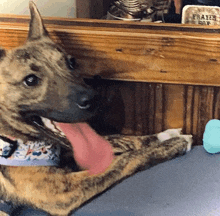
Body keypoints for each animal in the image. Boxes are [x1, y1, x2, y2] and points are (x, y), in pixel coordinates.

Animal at [0, 2, 192, 216]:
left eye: (71, 62)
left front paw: (164, 136)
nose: (93, 99)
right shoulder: (59, 191)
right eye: (30, 80)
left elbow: (115, 139)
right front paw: (171, 145)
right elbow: (122, 160)